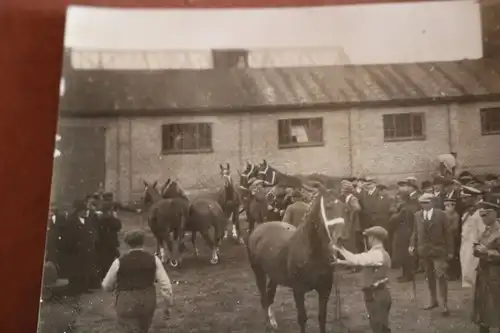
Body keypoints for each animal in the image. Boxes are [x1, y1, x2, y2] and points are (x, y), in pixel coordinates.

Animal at [247, 184, 348, 332]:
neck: (312, 254)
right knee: (263, 297)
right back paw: (267, 325)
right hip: (258, 272)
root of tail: (258, 230)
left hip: (274, 276)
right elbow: (302, 318)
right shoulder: (298, 291)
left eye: (344, 208)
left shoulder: (325, 289)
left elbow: (322, 317)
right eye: (328, 206)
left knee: (269, 295)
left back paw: (273, 323)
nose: (341, 239)